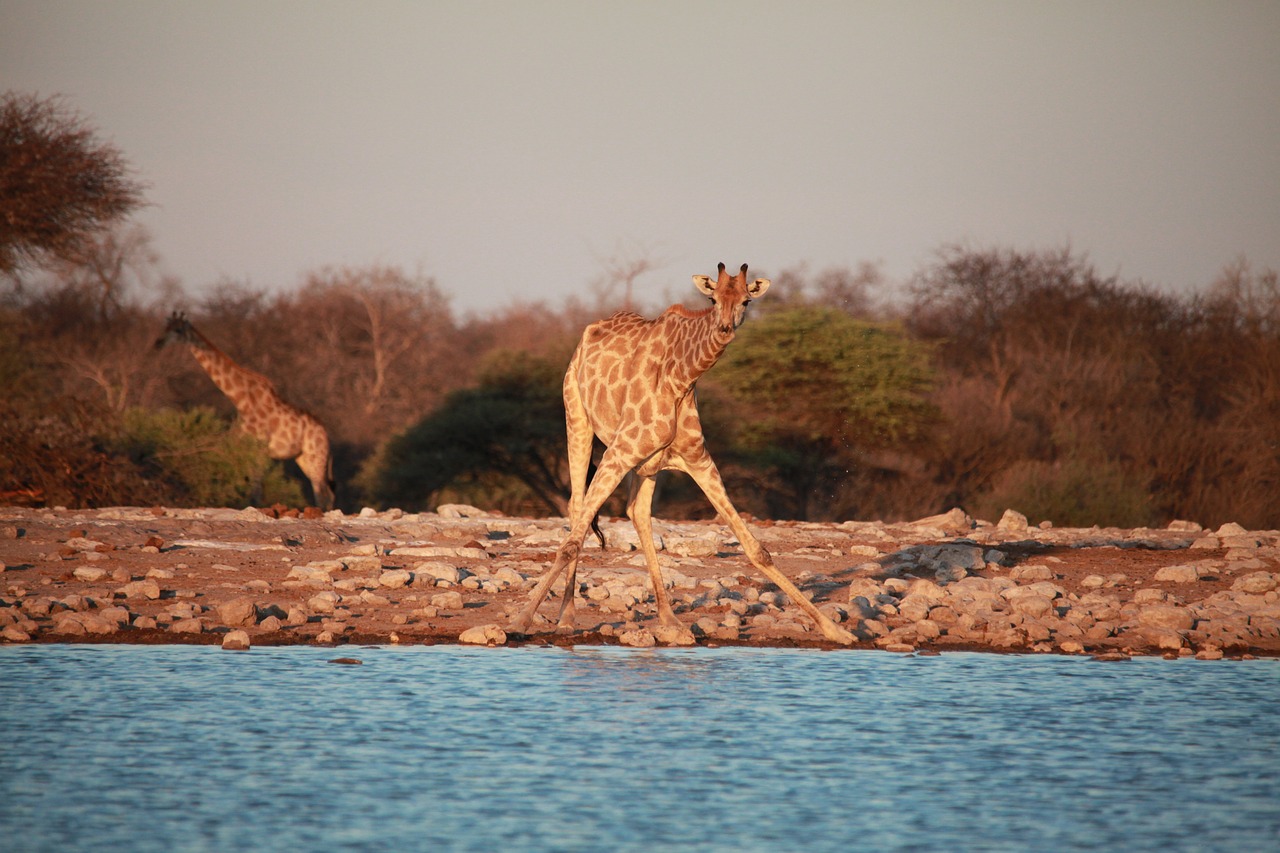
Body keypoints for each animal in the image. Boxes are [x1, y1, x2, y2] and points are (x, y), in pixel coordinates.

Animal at [152, 313, 335, 507]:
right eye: (166, 327)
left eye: (178, 330)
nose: (158, 342)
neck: (240, 400)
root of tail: (325, 434)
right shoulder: (246, 446)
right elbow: (250, 486)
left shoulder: (260, 447)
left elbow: (256, 488)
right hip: (303, 458)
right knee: (325, 491)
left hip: (316, 455)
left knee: (322, 492)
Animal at [506, 262, 849, 640]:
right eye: (713, 299)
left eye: (746, 301)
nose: (725, 328)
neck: (681, 379)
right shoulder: (619, 452)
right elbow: (571, 543)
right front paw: (519, 621)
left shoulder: (699, 461)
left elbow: (757, 550)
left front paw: (836, 630)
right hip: (577, 418)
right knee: (577, 505)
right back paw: (567, 616)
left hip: (646, 464)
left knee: (637, 512)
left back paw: (669, 619)